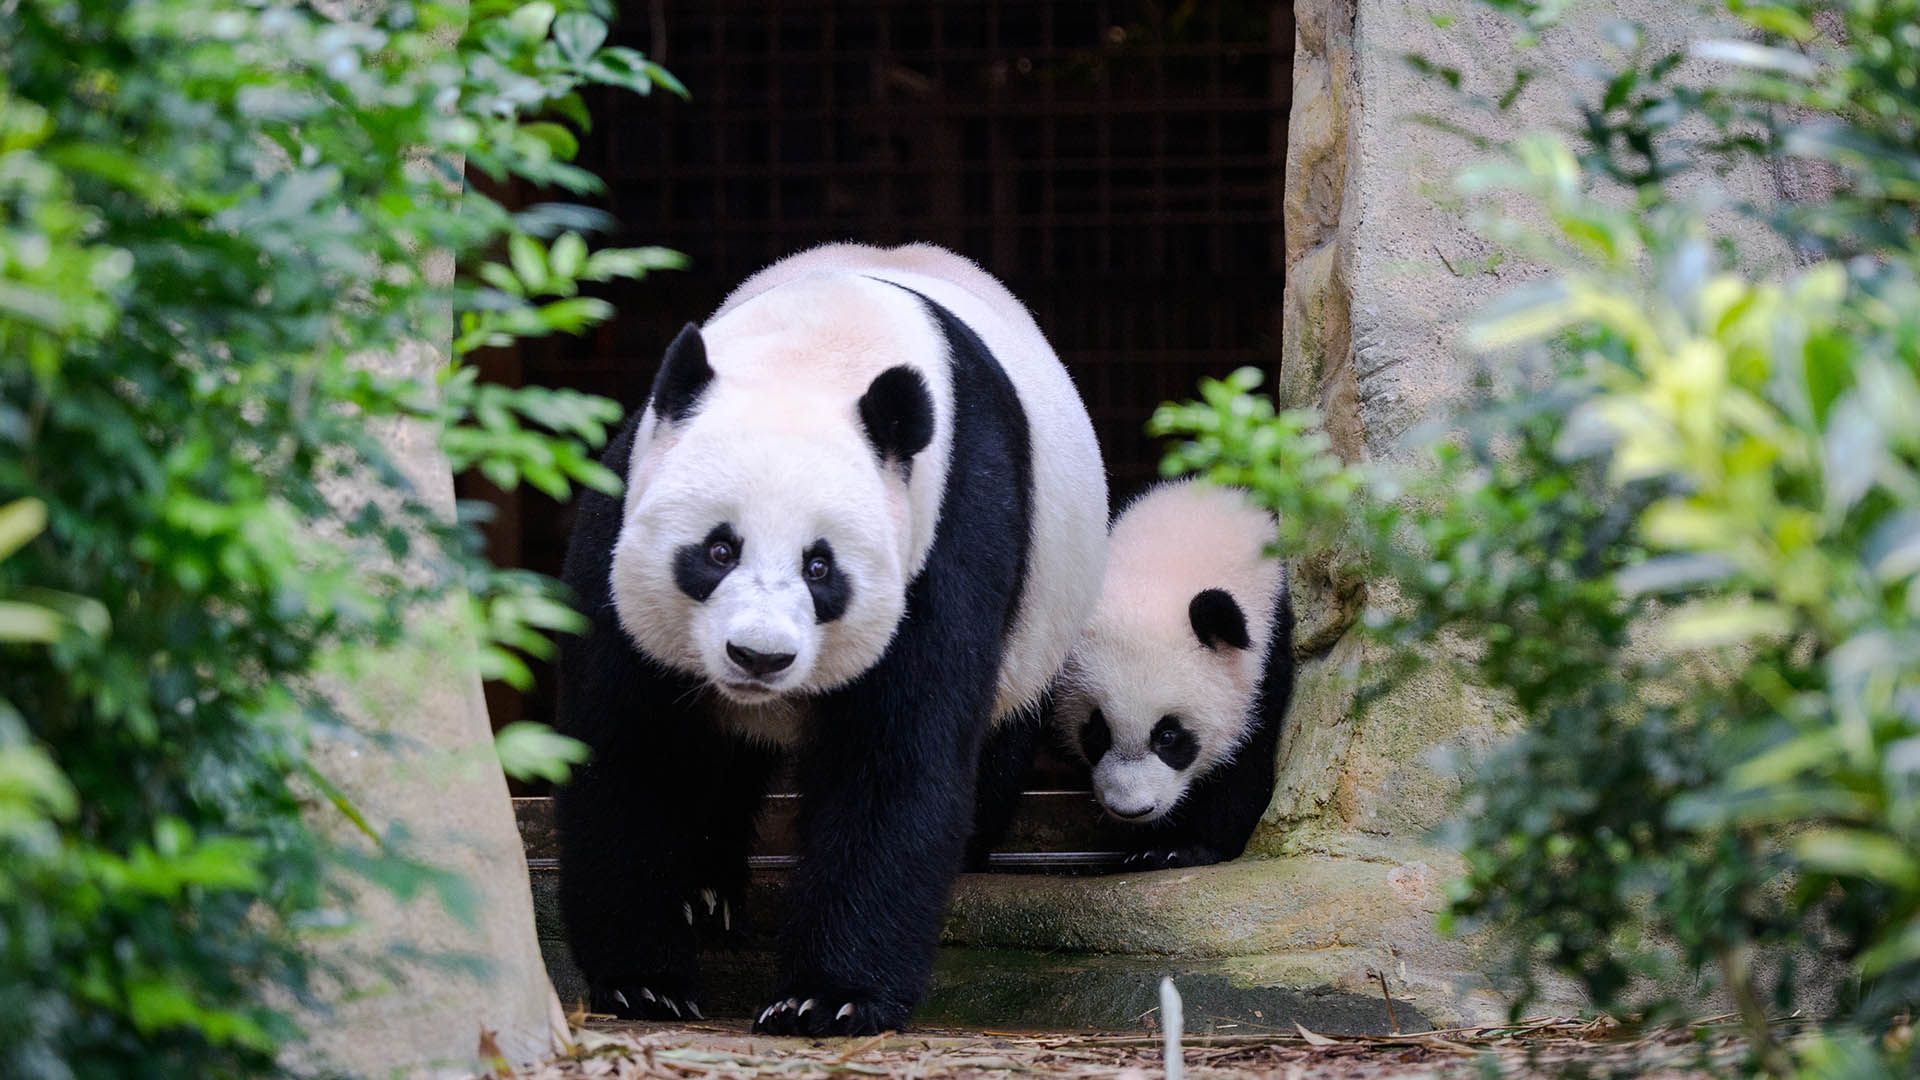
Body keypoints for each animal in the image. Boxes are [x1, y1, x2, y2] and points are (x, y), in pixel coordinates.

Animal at [556, 239, 1105, 1030]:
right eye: (718, 550)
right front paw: (644, 981)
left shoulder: (951, 527)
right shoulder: (623, 502)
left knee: (1000, 731)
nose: (758, 657)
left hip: (1042, 615)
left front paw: (829, 998)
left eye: (821, 568)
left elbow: (894, 755)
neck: (818, 349)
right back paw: (709, 891)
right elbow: (631, 745)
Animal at [1044, 478, 1297, 864]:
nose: (1132, 810)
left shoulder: (1265, 657)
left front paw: (1180, 847)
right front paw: (1146, 845)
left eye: (1168, 736)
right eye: (1098, 732)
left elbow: (1245, 762)